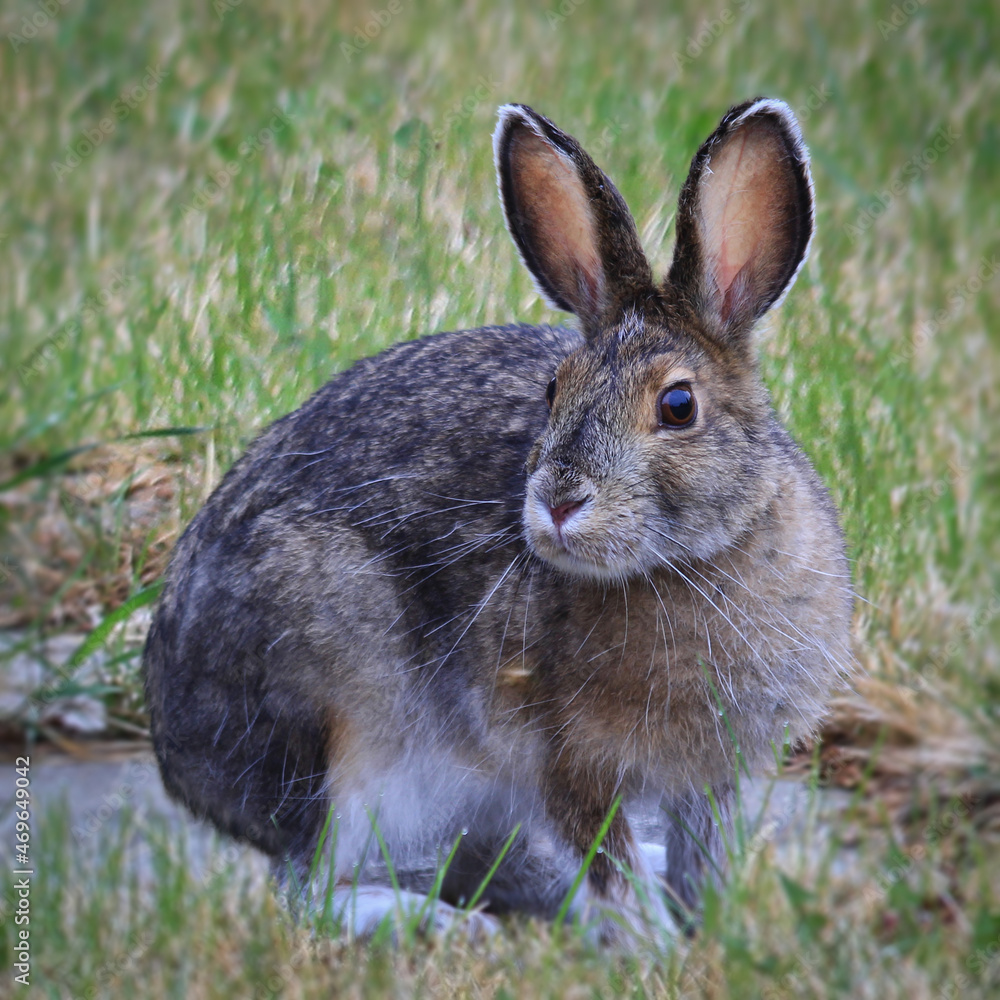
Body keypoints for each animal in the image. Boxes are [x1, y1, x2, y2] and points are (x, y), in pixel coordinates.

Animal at [143, 97, 853, 944]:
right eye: (554, 390)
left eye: (678, 406)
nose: (558, 502)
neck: (693, 560)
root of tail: (179, 756)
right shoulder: (565, 760)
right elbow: (605, 864)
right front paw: (656, 950)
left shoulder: (710, 779)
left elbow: (699, 862)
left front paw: (707, 933)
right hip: (349, 728)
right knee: (309, 890)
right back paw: (436, 925)